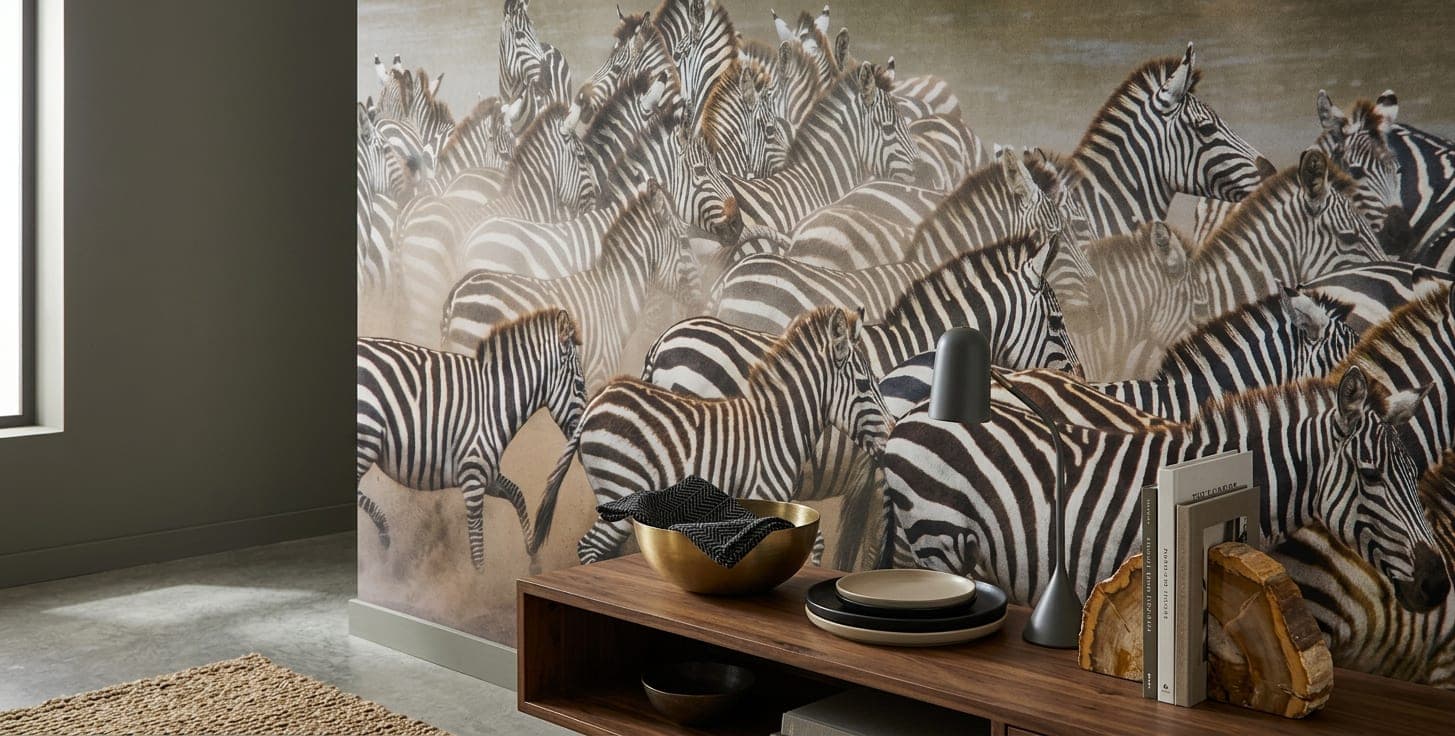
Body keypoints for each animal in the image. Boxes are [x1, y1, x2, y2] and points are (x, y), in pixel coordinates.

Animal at [356, 308, 587, 568]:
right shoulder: (473, 479)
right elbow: (477, 553)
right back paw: (383, 529)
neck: (493, 401)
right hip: (366, 438)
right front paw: (481, 577)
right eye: (580, 386)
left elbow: (518, 495)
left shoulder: (486, 472)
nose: (581, 443)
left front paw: (533, 556)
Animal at [538, 307, 891, 564]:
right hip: (620, 488)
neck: (777, 425)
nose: (892, 435)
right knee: (589, 547)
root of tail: (595, 404)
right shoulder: (762, 494)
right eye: (865, 385)